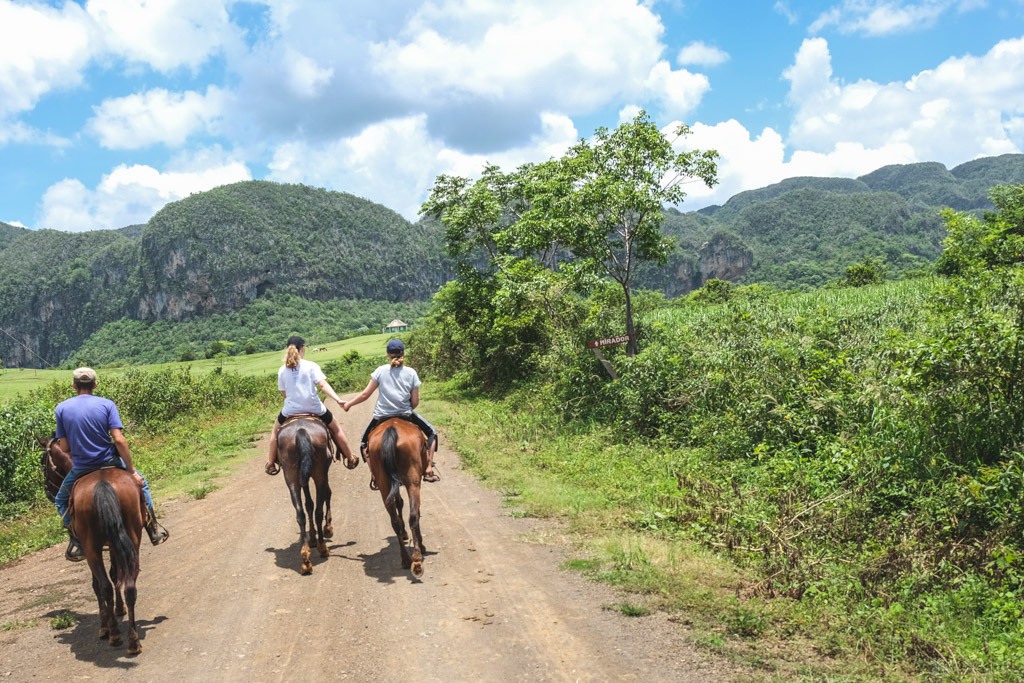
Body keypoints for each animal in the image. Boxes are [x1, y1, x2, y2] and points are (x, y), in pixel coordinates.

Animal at [37, 440, 144, 655]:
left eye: (44, 463)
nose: (47, 491)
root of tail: (103, 484)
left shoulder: (90, 551)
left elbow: (99, 583)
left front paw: (105, 624)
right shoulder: (114, 545)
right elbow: (116, 575)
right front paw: (118, 610)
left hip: (91, 548)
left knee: (103, 586)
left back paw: (113, 634)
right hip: (132, 539)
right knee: (129, 585)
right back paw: (132, 640)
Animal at [274, 419, 333, 573]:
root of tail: (301, 430)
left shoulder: (303, 478)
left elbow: (308, 504)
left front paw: (312, 538)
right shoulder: (323, 476)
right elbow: (326, 495)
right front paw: (327, 529)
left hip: (291, 477)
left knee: (300, 513)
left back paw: (306, 558)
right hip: (319, 475)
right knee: (319, 511)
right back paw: (323, 548)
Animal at [366, 417, 425, 577]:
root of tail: (391, 429)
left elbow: (399, 502)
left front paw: (405, 534)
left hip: (384, 483)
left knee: (394, 521)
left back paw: (405, 559)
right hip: (413, 480)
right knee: (413, 516)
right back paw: (417, 558)